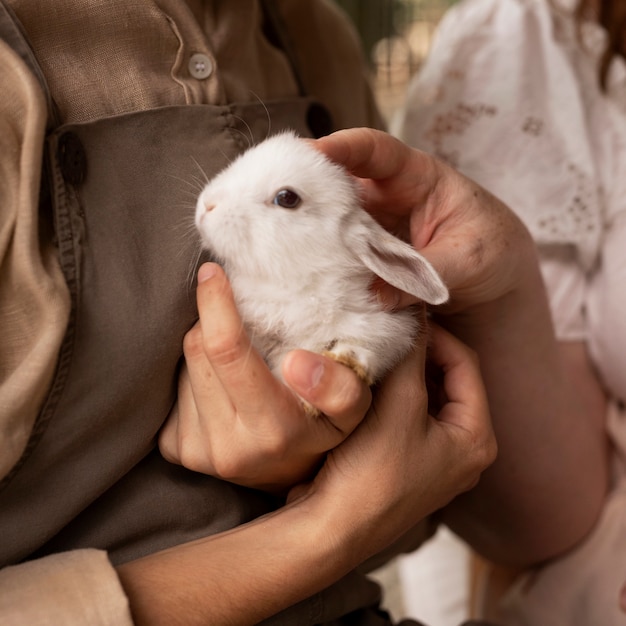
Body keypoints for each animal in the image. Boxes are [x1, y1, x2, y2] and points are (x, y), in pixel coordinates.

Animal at [193, 131, 446, 404]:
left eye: (287, 198)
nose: (207, 205)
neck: (297, 284)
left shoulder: (392, 331)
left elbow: (372, 349)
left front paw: (349, 359)